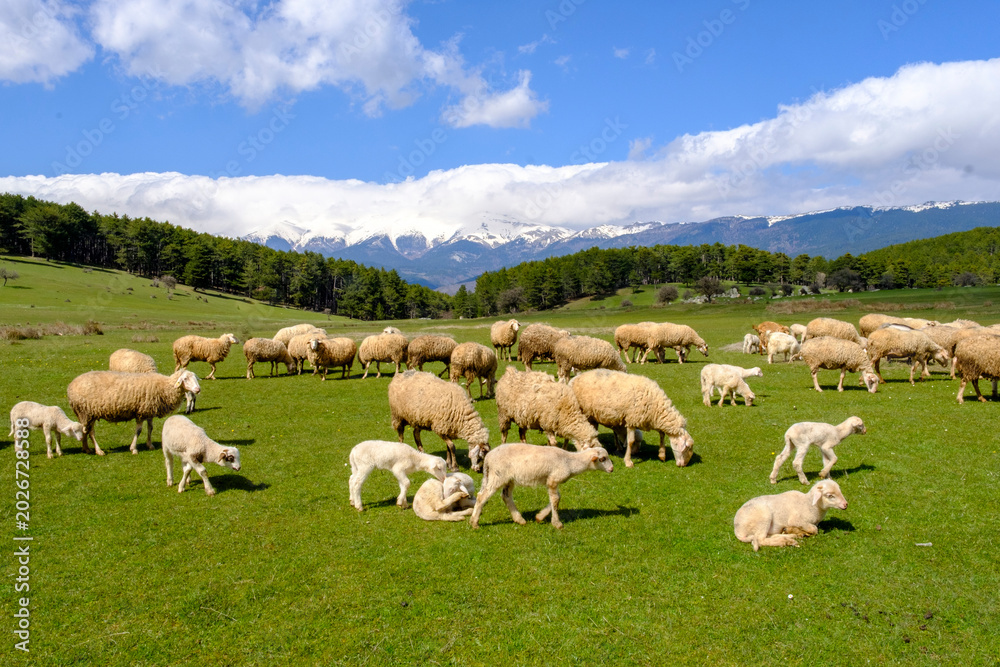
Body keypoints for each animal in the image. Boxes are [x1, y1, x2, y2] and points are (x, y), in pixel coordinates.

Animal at [67, 369, 202, 456]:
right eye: (185, 379)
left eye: (195, 378)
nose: (198, 389)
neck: (165, 387)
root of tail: (71, 385)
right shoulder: (141, 412)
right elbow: (139, 430)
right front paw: (134, 449)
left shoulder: (149, 410)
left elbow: (150, 428)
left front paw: (150, 445)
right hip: (88, 412)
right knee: (91, 432)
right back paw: (99, 451)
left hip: (84, 413)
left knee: (84, 429)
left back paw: (86, 448)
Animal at [469, 444, 614, 529]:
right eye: (602, 459)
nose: (612, 469)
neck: (570, 462)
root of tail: (488, 458)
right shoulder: (554, 480)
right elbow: (556, 500)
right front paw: (557, 523)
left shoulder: (550, 481)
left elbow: (556, 498)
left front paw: (540, 517)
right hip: (498, 475)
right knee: (482, 497)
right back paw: (474, 523)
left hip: (506, 478)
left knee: (505, 496)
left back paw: (519, 519)